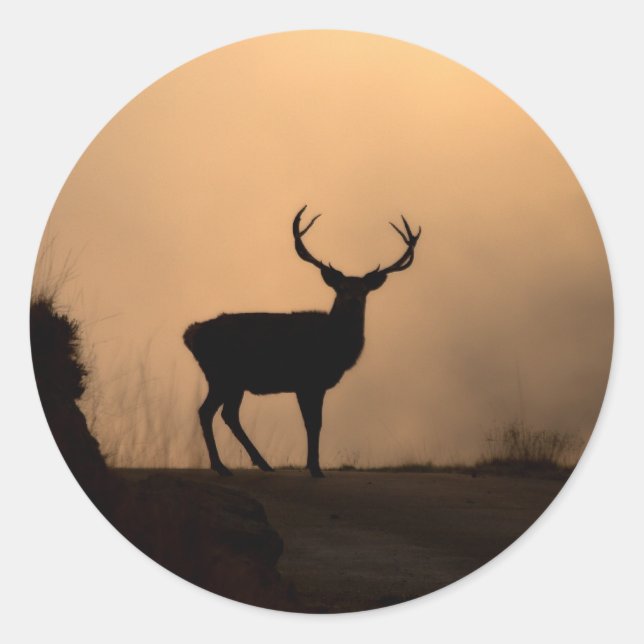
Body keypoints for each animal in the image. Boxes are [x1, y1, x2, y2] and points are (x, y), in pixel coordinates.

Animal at [183, 206, 421, 477]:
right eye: (341, 287)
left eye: (363, 290)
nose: (353, 301)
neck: (333, 346)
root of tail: (191, 334)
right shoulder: (307, 379)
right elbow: (313, 423)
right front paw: (315, 468)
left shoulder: (311, 384)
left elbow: (314, 423)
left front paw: (311, 464)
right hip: (222, 374)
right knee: (207, 411)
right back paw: (221, 466)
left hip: (233, 380)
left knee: (228, 414)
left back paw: (262, 463)